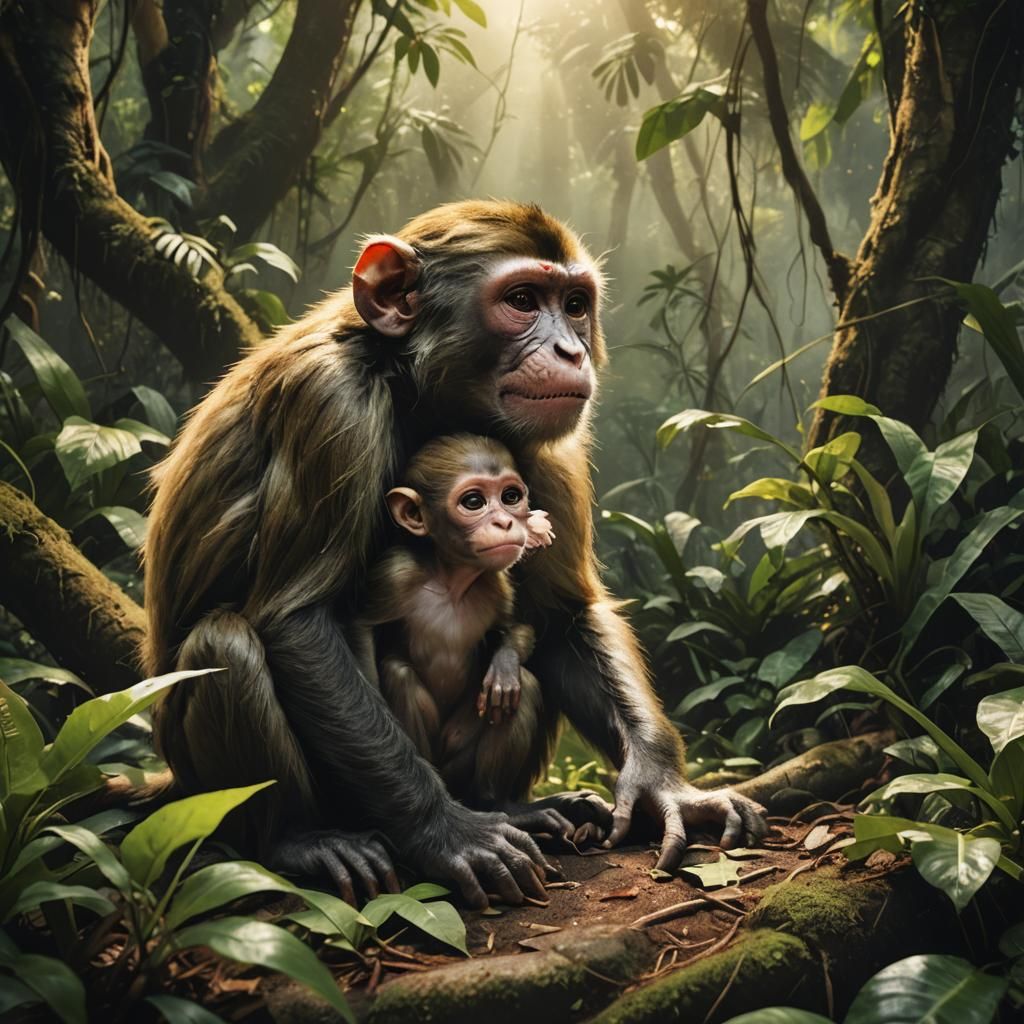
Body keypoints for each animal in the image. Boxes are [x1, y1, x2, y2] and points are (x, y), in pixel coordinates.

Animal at [144, 200, 766, 909]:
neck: (412, 384)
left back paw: (514, 806)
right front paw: (446, 832)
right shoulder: (330, 401)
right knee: (226, 643)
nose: (571, 349)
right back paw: (300, 838)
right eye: (522, 300)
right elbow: (297, 619)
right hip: (202, 789)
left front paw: (665, 784)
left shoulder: (545, 443)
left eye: (575, 304)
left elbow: (562, 615)